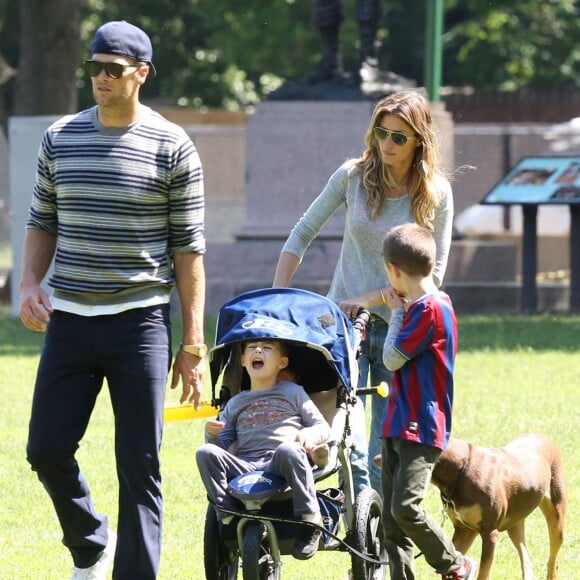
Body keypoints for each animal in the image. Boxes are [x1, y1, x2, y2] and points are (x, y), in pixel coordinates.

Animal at [430, 436, 568, 580]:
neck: (461, 471)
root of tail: (546, 438)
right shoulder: (464, 530)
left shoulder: (490, 533)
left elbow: (484, 573)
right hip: (515, 523)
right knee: (525, 557)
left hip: (557, 518)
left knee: (553, 560)